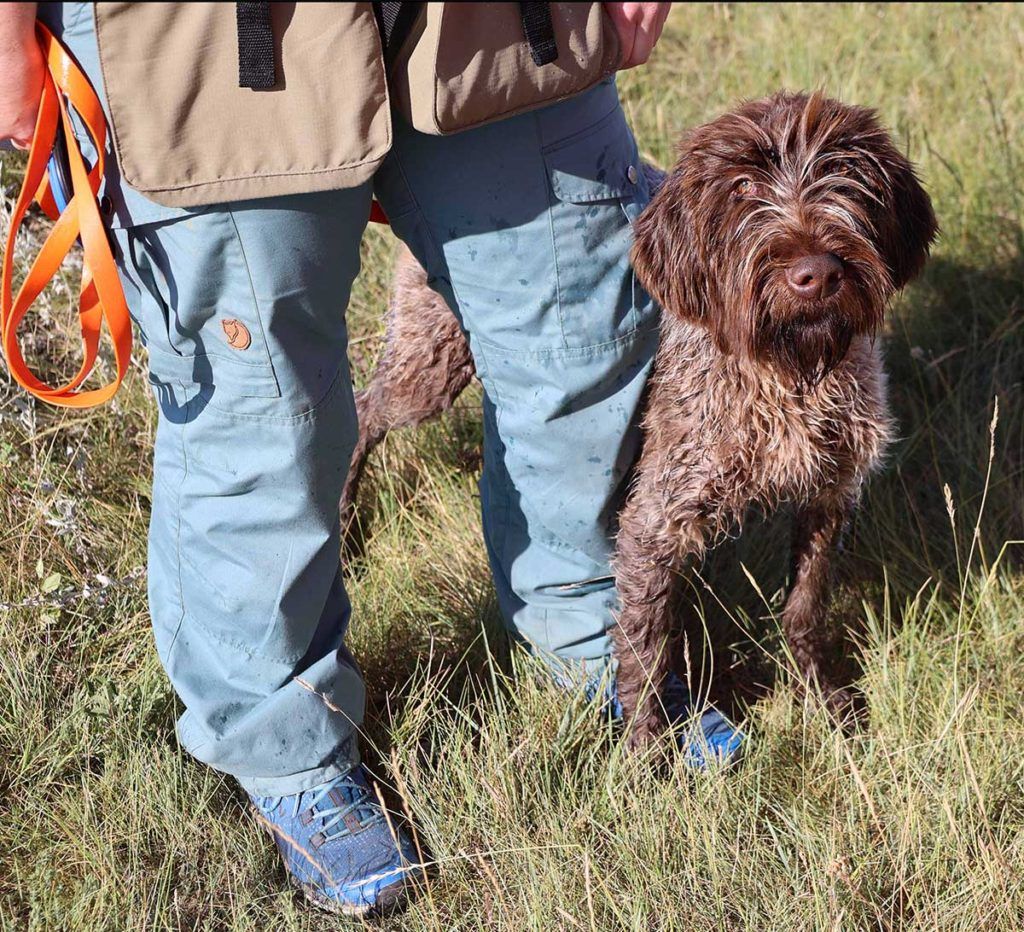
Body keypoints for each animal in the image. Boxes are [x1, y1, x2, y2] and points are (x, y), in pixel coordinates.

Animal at [342, 94, 937, 749]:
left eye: (846, 177)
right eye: (742, 187)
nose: (817, 274)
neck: (786, 373)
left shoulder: (831, 493)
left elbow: (805, 607)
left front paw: (823, 698)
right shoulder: (657, 523)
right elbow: (645, 649)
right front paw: (647, 751)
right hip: (430, 365)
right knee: (364, 413)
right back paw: (343, 528)